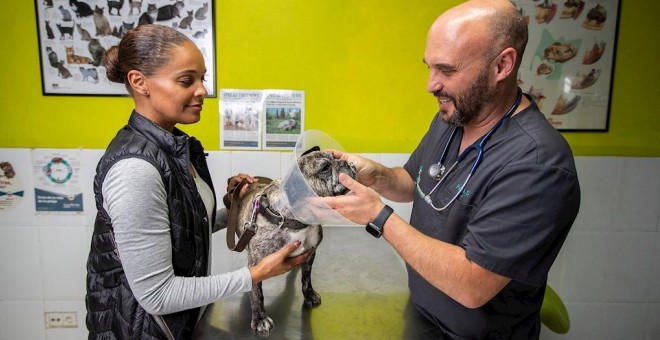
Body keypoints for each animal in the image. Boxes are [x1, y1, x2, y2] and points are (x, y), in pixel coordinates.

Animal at [232, 147, 356, 336]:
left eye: (336, 158)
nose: (345, 162)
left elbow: (306, 279)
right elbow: (257, 293)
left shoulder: (310, 252)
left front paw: (310, 295)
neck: (295, 219)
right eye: (325, 168)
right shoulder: (256, 264)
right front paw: (260, 318)